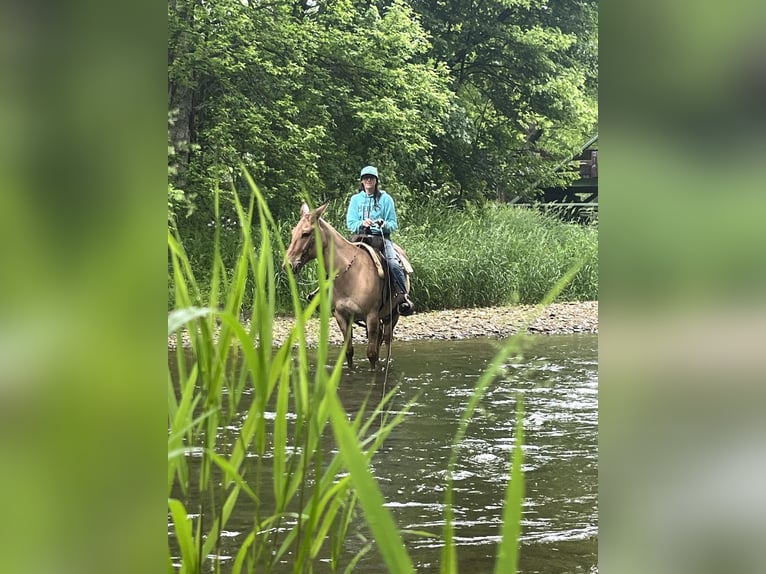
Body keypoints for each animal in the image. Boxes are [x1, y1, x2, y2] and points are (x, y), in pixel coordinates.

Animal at [284, 205, 414, 372]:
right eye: (293, 232)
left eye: (306, 233)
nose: (288, 264)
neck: (351, 274)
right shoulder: (341, 316)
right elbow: (349, 352)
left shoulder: (371, 316)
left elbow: (371, 354)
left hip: (392, 315)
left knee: (387, 341)